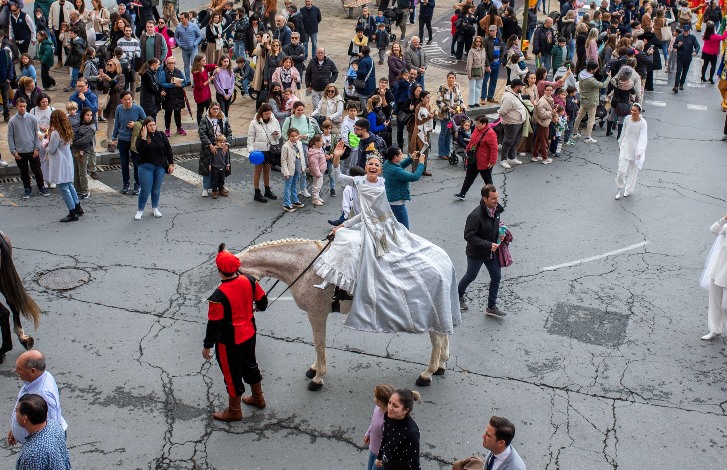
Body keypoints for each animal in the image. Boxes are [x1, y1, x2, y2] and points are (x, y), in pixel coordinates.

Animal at [239, 239, 452, 390]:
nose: (258, 307)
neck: (304, 267)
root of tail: (444, 261)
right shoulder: (317, 314)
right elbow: (319, 343)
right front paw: (315, 369)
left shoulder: (316, 314)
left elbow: (319, 343)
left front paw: (318, 377)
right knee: (444, 336)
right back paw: (441, 365)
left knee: (437, 341)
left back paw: (427, 374)